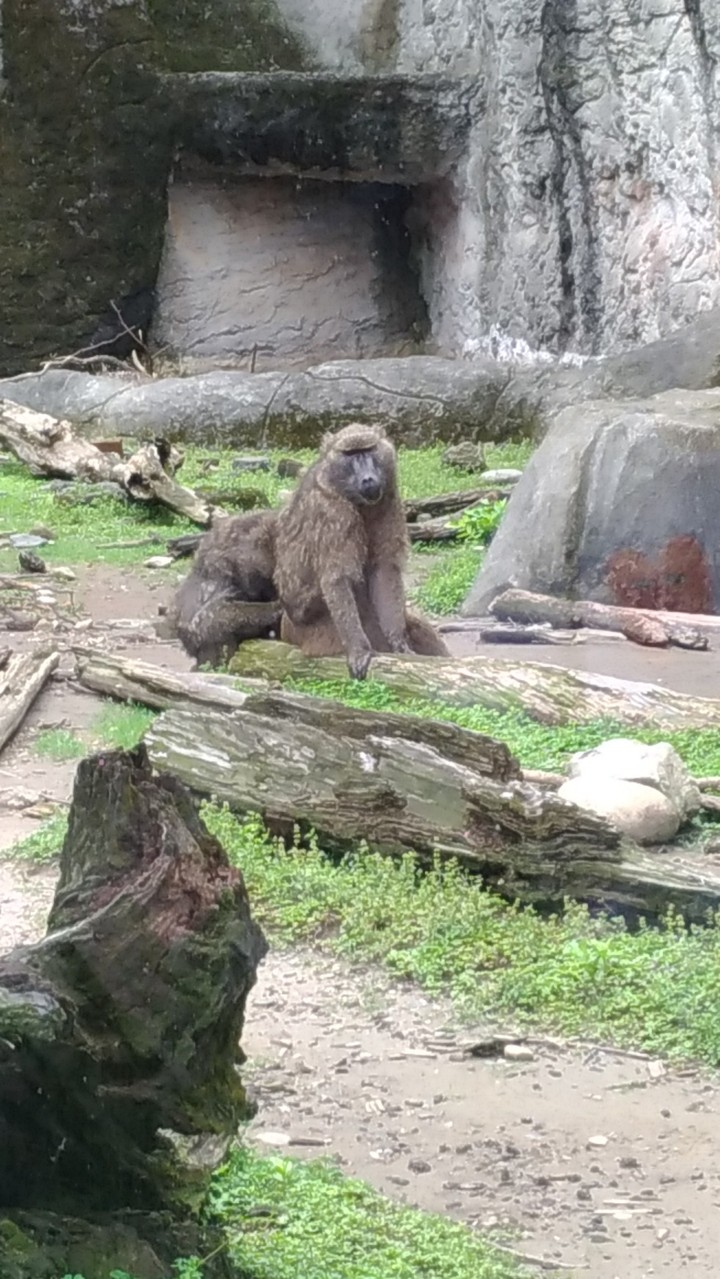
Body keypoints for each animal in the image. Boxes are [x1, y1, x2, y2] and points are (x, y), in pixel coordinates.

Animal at [274, 423, 449, 679]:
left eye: (368, 450)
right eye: (351, 455)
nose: (368, 479)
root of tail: (287, 632)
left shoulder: (389, 497)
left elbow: (384, 569)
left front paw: (399, 643)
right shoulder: (334, 512)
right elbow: (338, 579)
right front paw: (359, 650)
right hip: (320, 636)